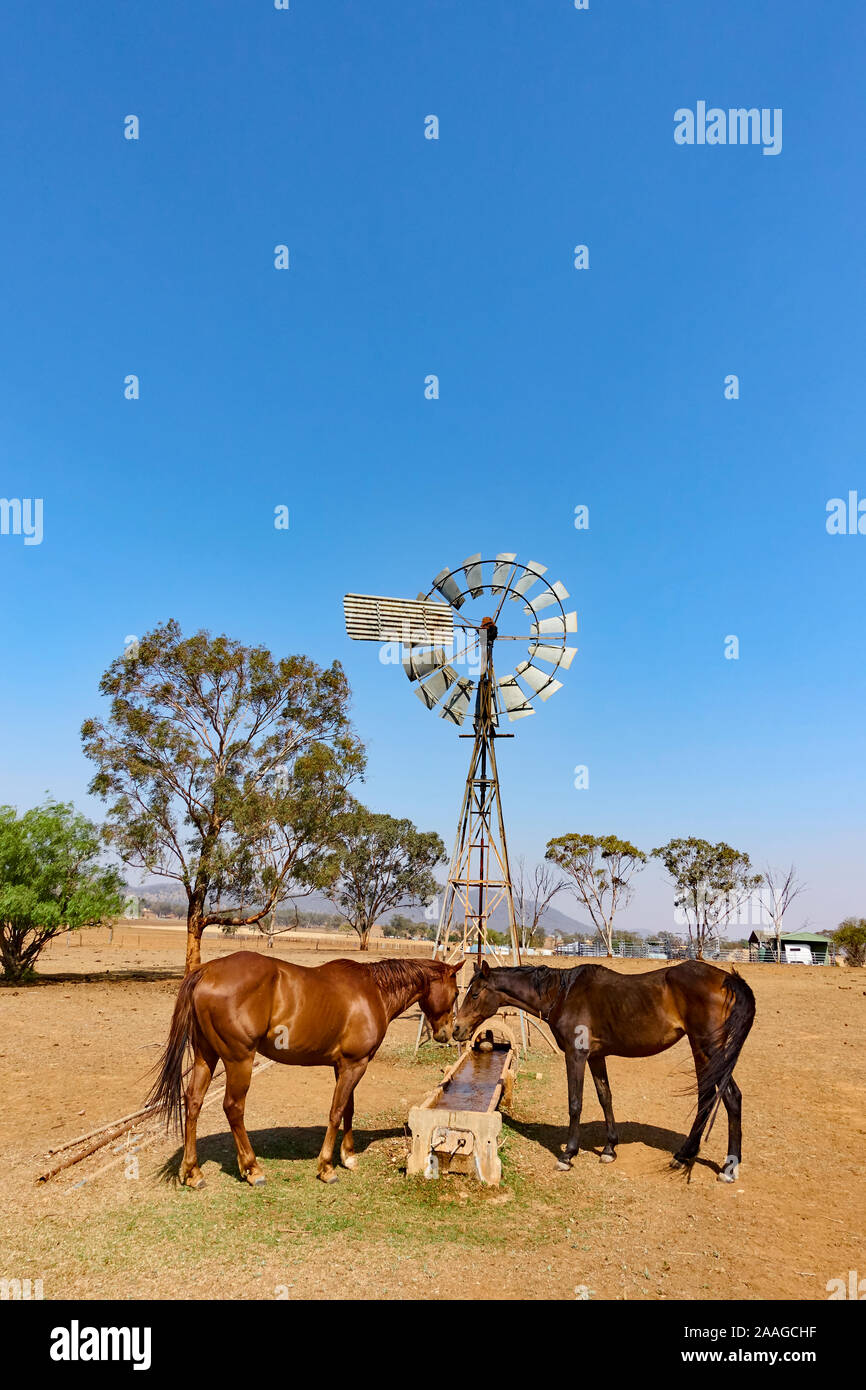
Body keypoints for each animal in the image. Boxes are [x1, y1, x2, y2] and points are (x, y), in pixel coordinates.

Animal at [150, 956, 461, 1184]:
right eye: (457, 991)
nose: (449, 1032)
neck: (373, 990)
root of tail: (206, 970)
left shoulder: (345, 1066)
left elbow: (348, 1109)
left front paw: (348, 1157)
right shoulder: (355, 1064)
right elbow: (336, 1112)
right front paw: (327, 1167)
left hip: (207, 1057)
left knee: (193, 1103)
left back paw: (192, 1172)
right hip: (239, 1061)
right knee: (233, 1108)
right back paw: (253, 1168)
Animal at [450, 956, 756, 1184]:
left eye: (474, 993)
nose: (457, 1029)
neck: (562, 995)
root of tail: (727, 980)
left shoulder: (576, 1055)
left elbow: (575, 1102)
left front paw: (568, 1155)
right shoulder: (596, 1057)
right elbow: (604, 1097)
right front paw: (609, 1149)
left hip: (710, 1049)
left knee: (731, 1098)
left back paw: (729, 1169)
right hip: (700, 1050)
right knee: (707, 1097)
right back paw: (683, 1156)